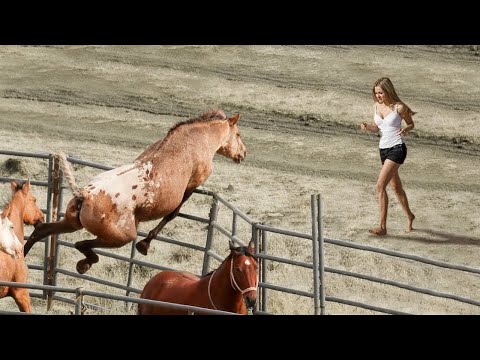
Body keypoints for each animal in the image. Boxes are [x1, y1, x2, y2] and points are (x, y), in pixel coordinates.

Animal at [23, 108, 246, 274]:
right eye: (238, 134)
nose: (243, 153)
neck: (197, 139)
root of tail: (84, 195)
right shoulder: (193, 184)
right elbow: (172, 214)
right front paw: (144, 245)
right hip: (122, 236)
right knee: (82, 244)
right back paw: (84, 264)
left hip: (71, 223)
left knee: (42, 231)